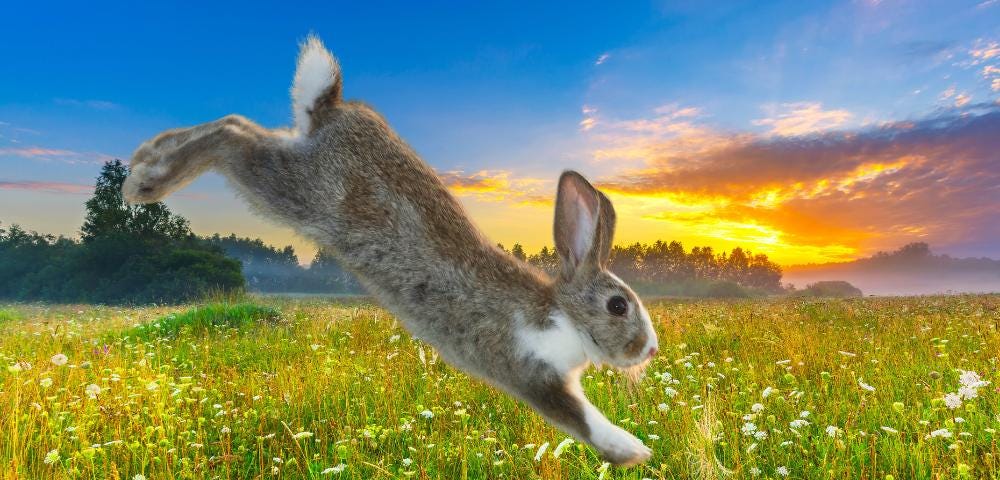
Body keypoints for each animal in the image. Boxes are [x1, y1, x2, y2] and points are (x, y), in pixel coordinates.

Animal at [123, 35, 656, 466]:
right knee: (231, 133)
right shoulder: (531, 373)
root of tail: (333, 108)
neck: (560, 313)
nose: (650, 349)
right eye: (618, 306)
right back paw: (145, 180)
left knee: (241, 126)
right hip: (295, 191)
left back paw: (146, 158)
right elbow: (582, 418)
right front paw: (633, 452)